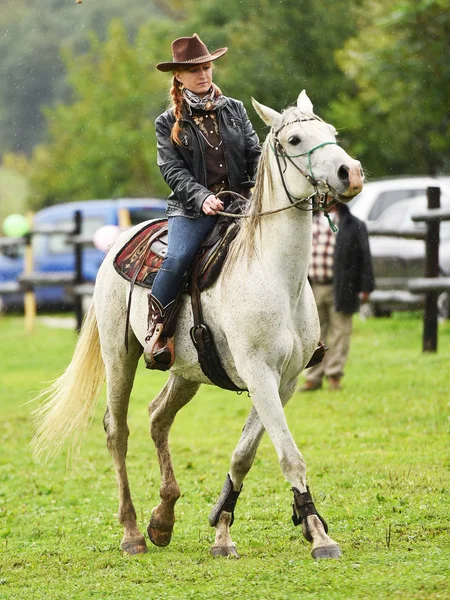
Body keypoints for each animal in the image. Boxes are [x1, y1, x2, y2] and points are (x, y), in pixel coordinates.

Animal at [33, 91, 366, 560]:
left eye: (332, 133)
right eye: (295, 139)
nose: (349, 172)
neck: (273, 275)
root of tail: (120, 241)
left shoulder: (284, 382)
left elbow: (244, 455)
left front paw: (224, 529)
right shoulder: (259, 374)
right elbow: (289, 455)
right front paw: (319, 534)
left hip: (185, 372)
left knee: (157, 418)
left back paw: (163, 519)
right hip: (120, 357)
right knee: (117, 430)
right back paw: (132, 532)